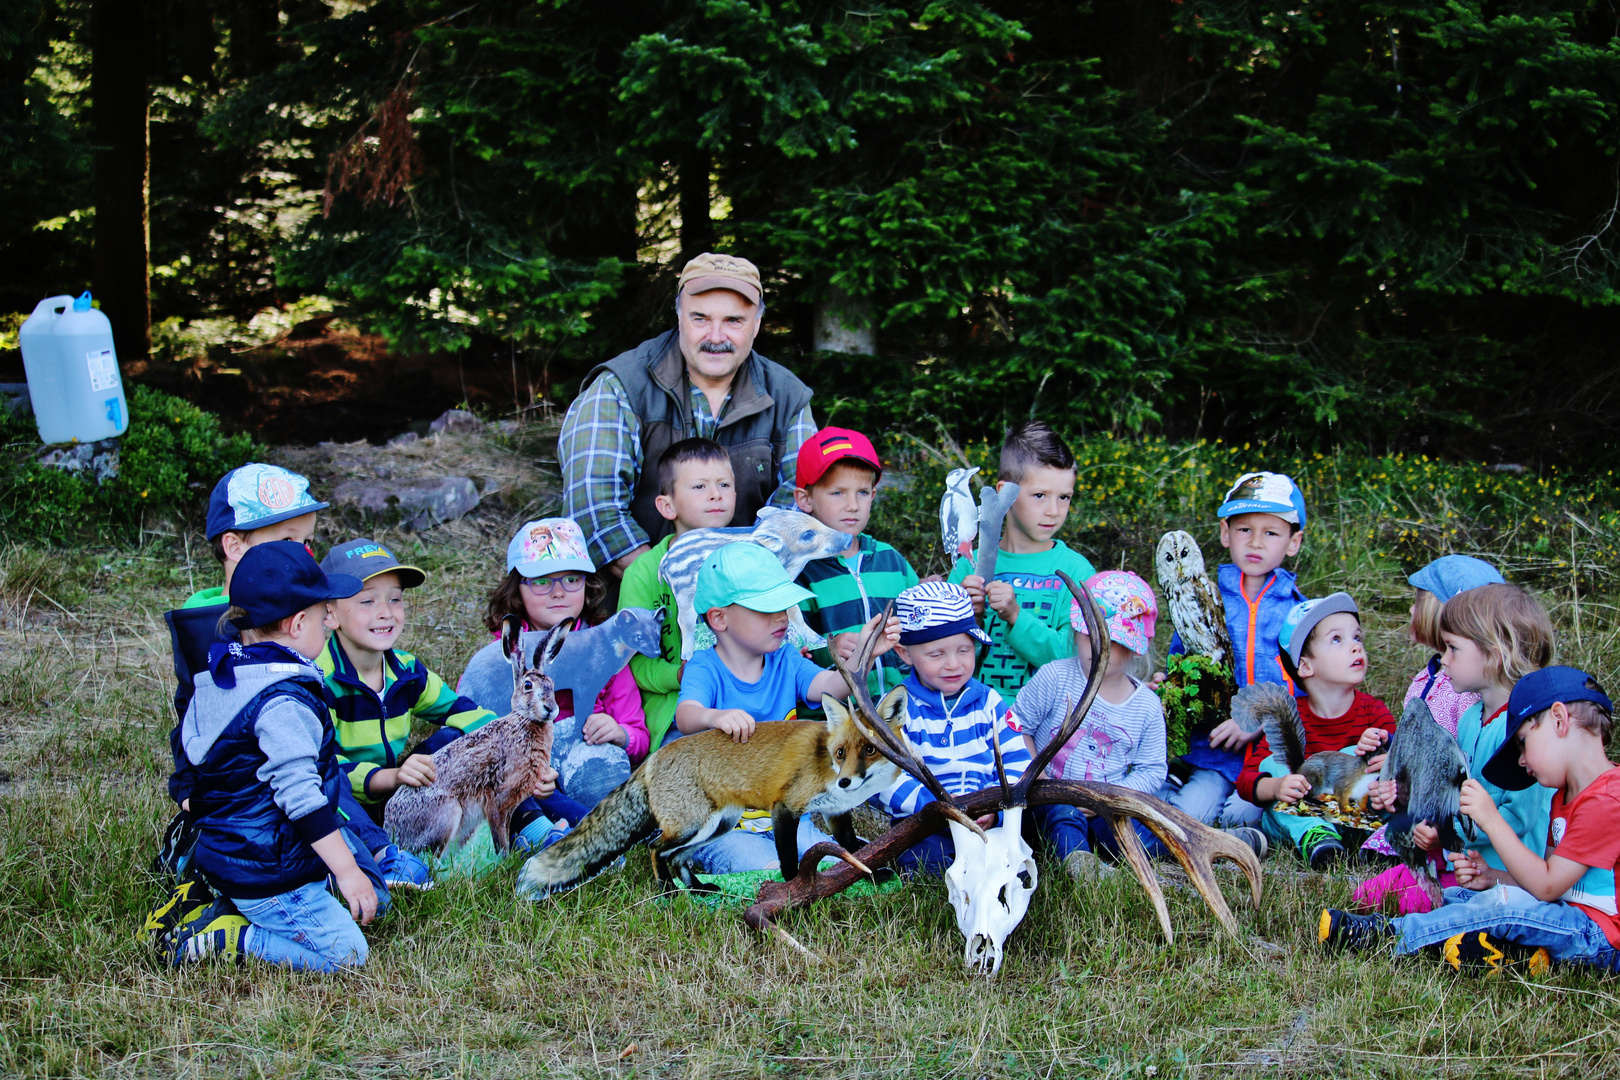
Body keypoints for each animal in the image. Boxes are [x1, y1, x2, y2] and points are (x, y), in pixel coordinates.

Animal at [515, 689, 913, 900]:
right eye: (841, 753)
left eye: (871, 750)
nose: (846, 782)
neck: (825, 763)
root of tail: (653, 758)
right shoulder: (785, 807)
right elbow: (789, 860)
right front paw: (791, 891)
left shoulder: (836, 813)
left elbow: (855, 852)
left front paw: (875, 876)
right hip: (694, 825)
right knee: (655, 849)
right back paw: (669, 893)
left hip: (718, 824)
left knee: (677, 857)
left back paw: (699, 890)